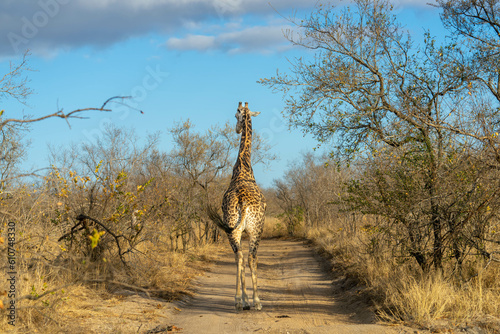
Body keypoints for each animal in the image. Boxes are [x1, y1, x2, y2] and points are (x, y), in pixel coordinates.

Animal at [210, 101, 266, 310]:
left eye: (236, 115)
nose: (236, 129)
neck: (243, 165)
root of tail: (242, 202)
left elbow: (239, 259)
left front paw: (244, 299)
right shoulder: (247, 231)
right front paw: (250, 299)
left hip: (235, 230)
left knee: (241, 257)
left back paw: (239, 301)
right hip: (255, 229)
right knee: (250, 257)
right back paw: (256, 301)